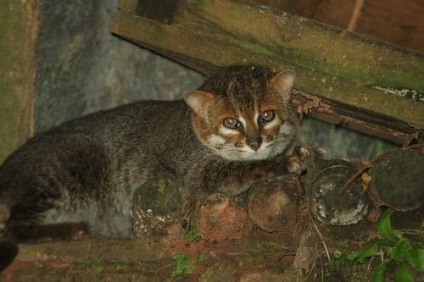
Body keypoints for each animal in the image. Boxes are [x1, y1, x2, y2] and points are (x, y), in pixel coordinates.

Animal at [0, 64, 312, 242]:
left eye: (267, 116)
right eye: (231, 122)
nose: (255, 142)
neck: (194, 132)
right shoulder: (196, 174)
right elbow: (244, 169)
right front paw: (287, 161)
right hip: (64, 169)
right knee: (14, 227)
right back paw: (72, 230)